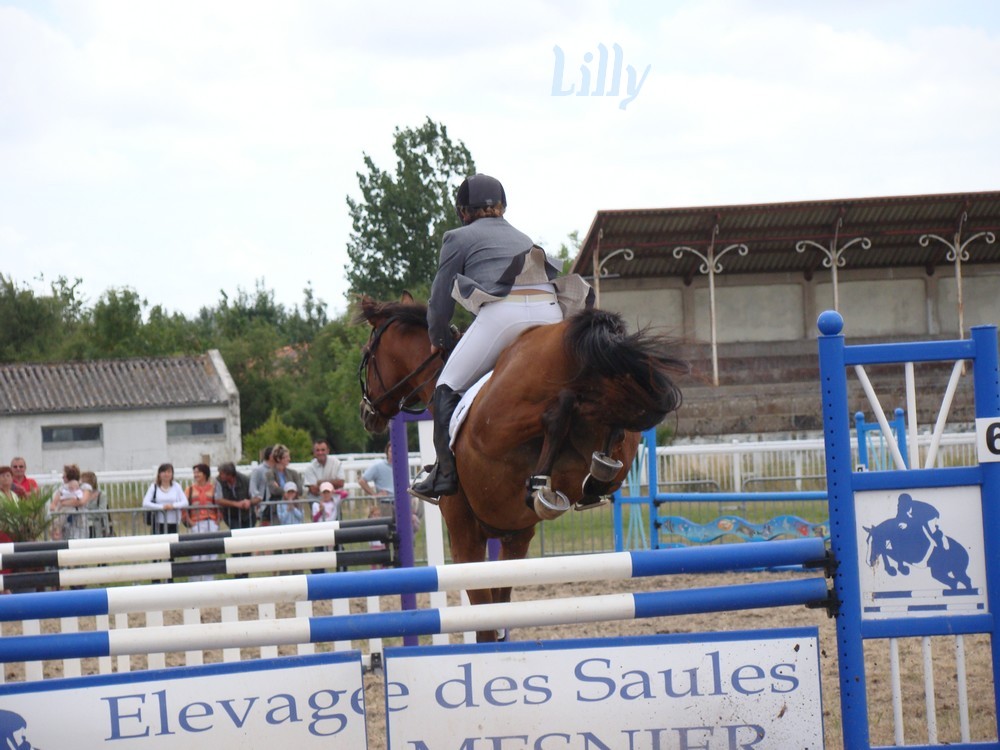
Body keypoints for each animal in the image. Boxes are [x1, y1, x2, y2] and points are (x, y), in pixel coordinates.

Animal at [358, 294, 688, 640]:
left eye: (368, 354)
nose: (366, 414)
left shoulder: (465, 535)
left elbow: (486, 622)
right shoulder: (515, 537)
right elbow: (500, 607)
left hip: (497, 425)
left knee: (559, 411)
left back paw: (541, 481)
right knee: (604, 421)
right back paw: (586, 475)